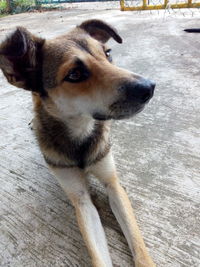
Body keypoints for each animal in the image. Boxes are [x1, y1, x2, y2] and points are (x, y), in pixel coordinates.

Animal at [0, 20, 155, 267]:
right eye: (75, 74)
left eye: (107, 54)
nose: (149, 88)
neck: (81, 131)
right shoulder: (81, 199)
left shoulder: (113, 184)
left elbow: (138, 244)